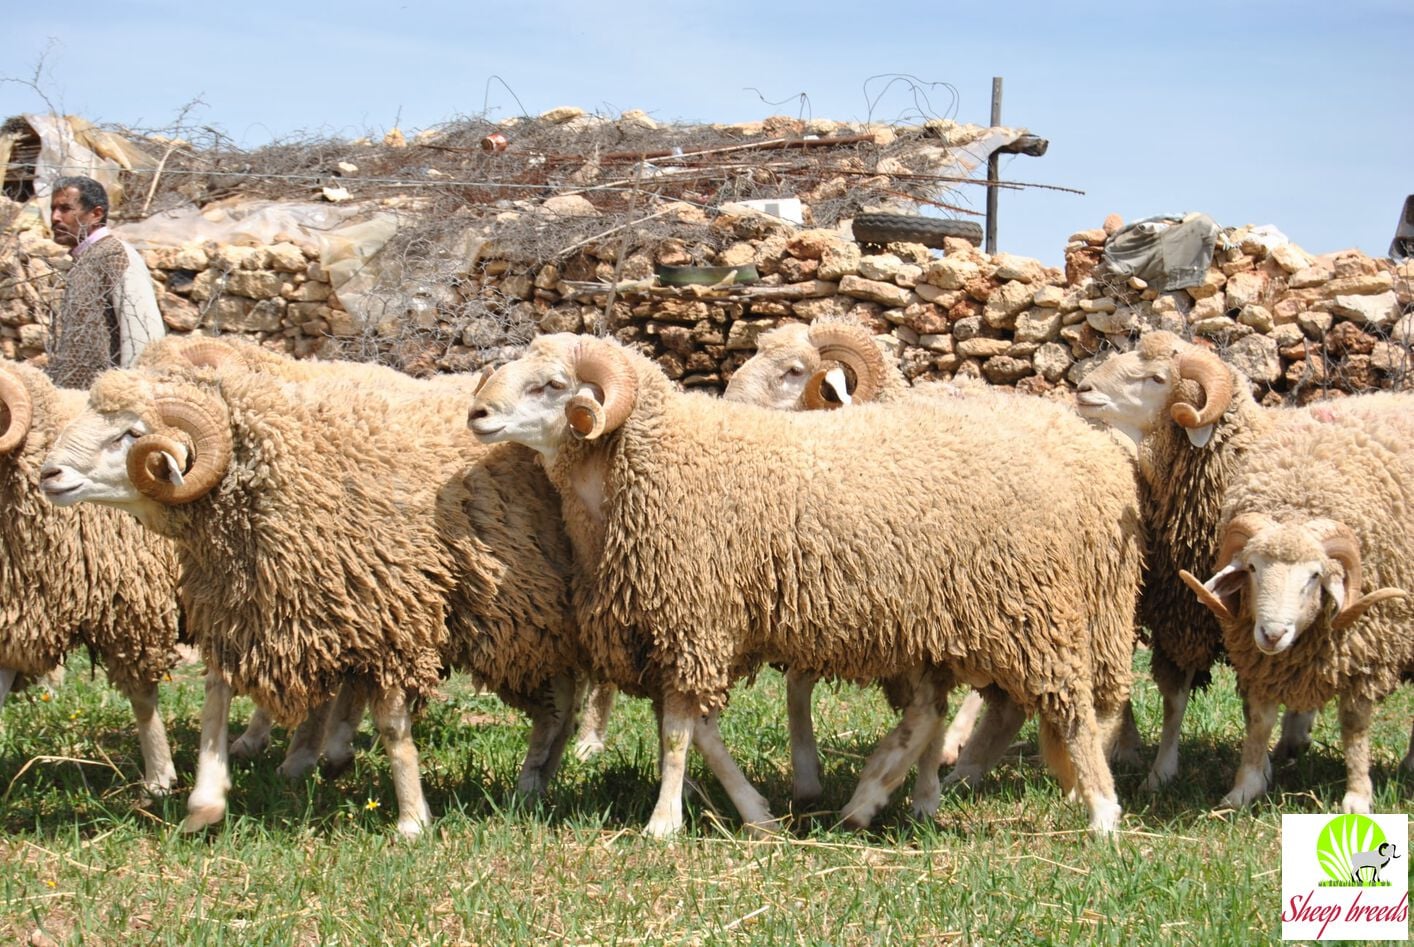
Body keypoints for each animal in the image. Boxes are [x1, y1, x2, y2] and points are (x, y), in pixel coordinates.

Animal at [40, 355, 582, 837]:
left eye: (131, 434)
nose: (48, 474)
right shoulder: (245, 607)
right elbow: (215, 701)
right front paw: (205, 802)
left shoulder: (391, 615)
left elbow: (392, 727)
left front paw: (411, 820)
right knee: (561, 701)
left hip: (528, 613)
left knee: (560, 700)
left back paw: (533, 778)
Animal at [468, 332, 1143, 836]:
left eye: (553, 385)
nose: (478, 413)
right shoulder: (687, 627)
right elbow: (703, 731)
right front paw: (758, 814)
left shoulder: (697, 617)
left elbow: (679, 734)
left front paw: (663, 823)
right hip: (936, 618)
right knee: (931, 710)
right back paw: (877, 798)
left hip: (1030, 606)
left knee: (1074, 706)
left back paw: (1102, 812)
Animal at [1074, 330, 1318, 789]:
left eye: (1157, 378)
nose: (1083, 388)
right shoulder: (1179, 611)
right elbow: (1175, 698)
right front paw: (1160, 772)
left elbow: (1254, 703)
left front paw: (1255, 772)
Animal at [1177, 392, 1412, 814]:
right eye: (1252, 568)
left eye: (1315, 576)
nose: (1272, 634)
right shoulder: (1259, 661)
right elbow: (1259, 721)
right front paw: (1244, 788)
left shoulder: (1366, 653)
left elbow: (1354, 726)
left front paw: (1357, 797)